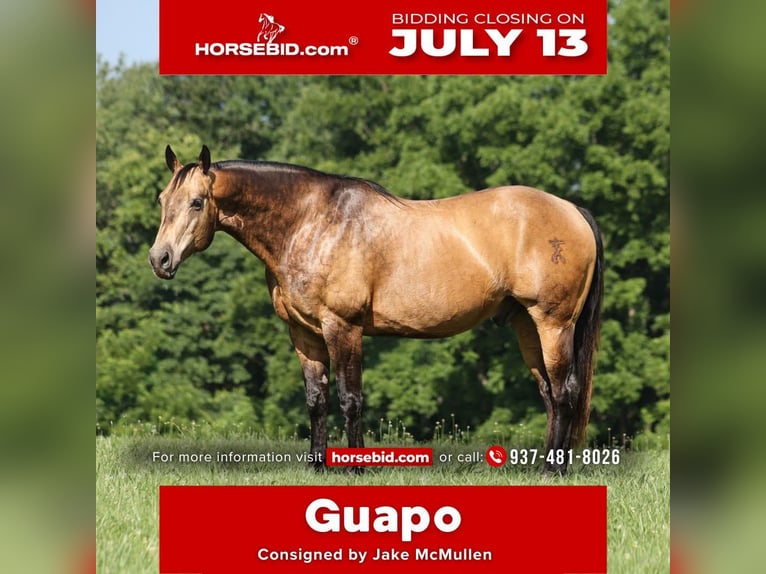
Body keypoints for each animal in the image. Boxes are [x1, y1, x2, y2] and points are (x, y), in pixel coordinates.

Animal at [149, 145, 603, 474]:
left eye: (196, 202)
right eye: (162, 199)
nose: (160, 259)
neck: (311, 222)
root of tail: (572, 210)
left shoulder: (342, 327)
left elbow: (350, 398)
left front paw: (355, 469)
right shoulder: (304, 333)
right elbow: (316, 399)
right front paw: (317, 467)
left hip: (554, 324)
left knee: (565, 391)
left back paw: (554, 470)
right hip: (527, 325)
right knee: (549, 394)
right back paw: (542, 467)